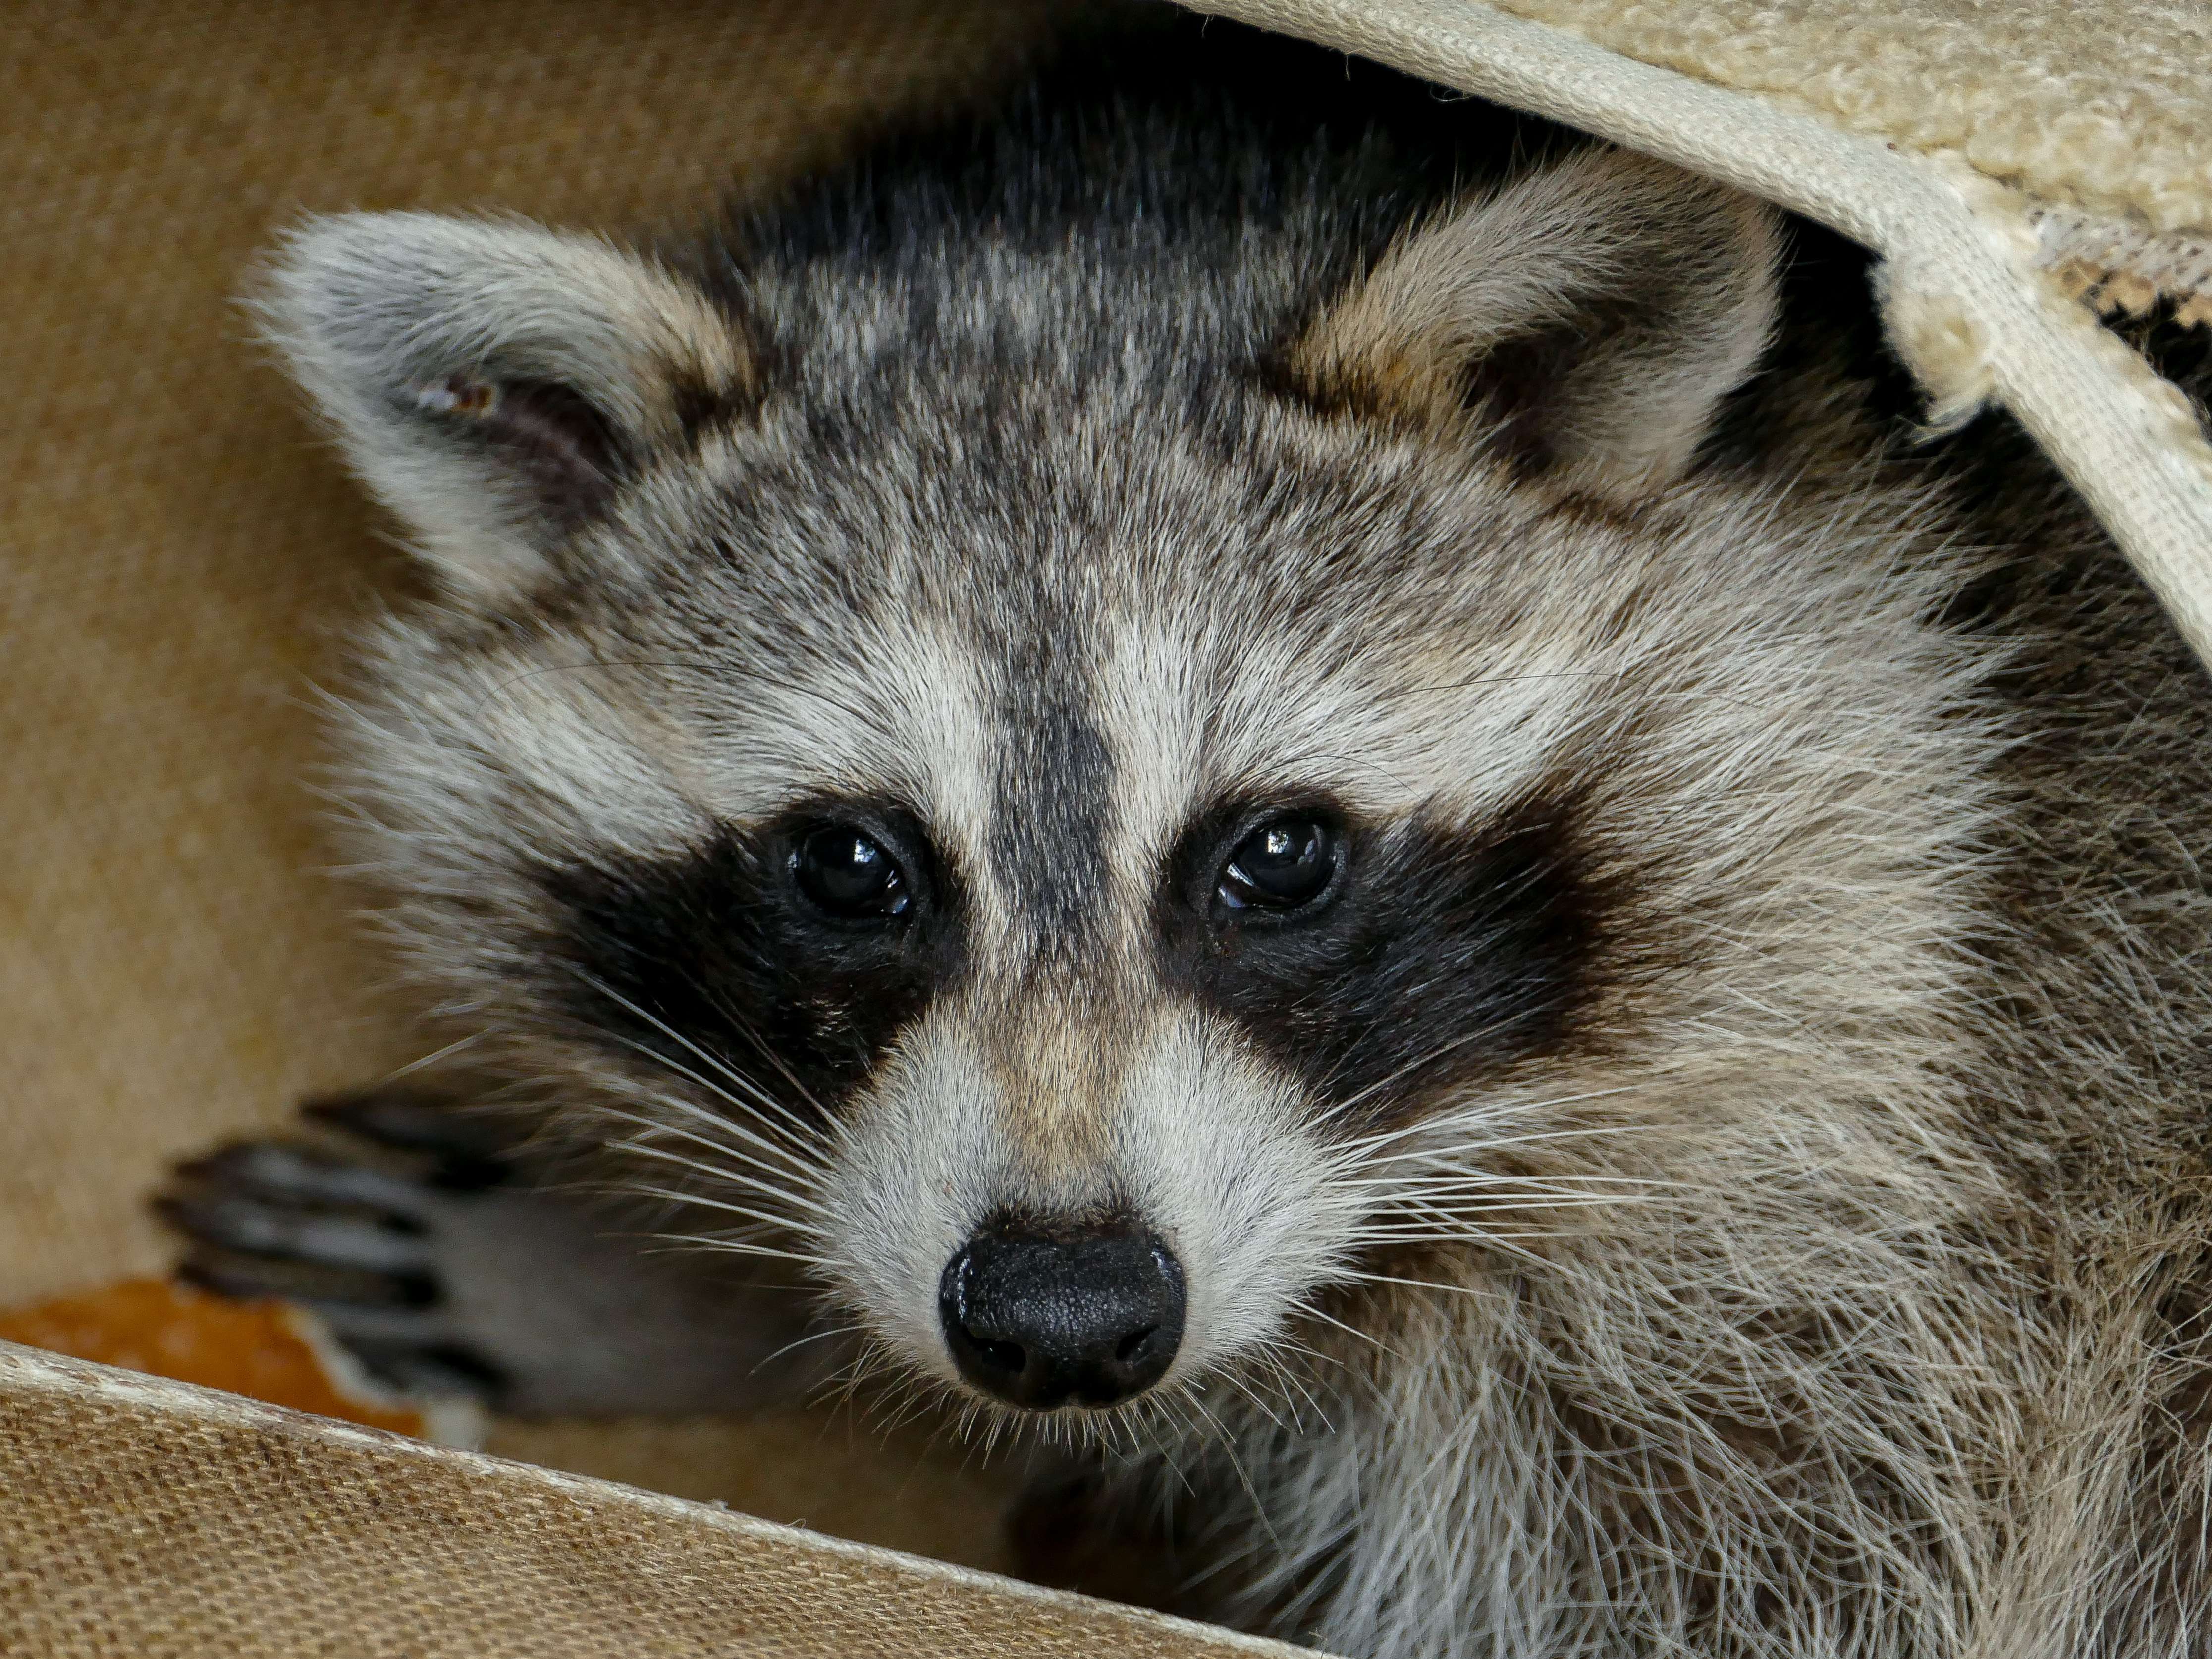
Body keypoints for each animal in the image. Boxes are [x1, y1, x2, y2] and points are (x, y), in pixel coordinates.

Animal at [161, 17, 2212, 1658]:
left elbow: (1762, 1565)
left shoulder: (1903, 1208)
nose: (1064, 1313)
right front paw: (647, 1286)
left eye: (1277, 857)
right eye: (849, 865)